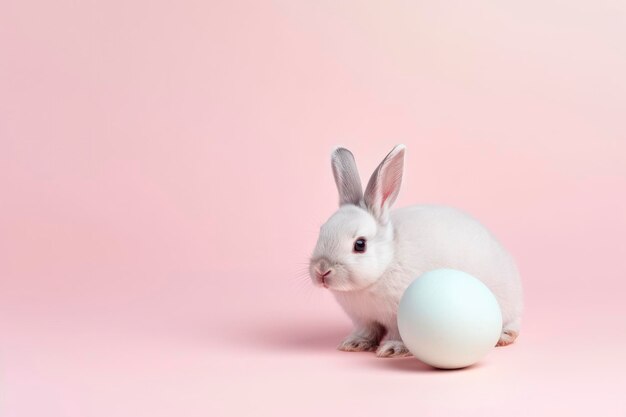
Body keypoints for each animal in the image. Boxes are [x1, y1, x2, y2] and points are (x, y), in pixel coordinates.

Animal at [308, 145, 520, 356]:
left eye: (360, 244)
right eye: (321, 230)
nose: (321, 270)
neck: (387, 263)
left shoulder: (397, 316)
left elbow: (398, 334)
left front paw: (392, 348)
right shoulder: (364, 319)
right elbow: (367, 331)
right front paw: (354, 343)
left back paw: (504, 336)